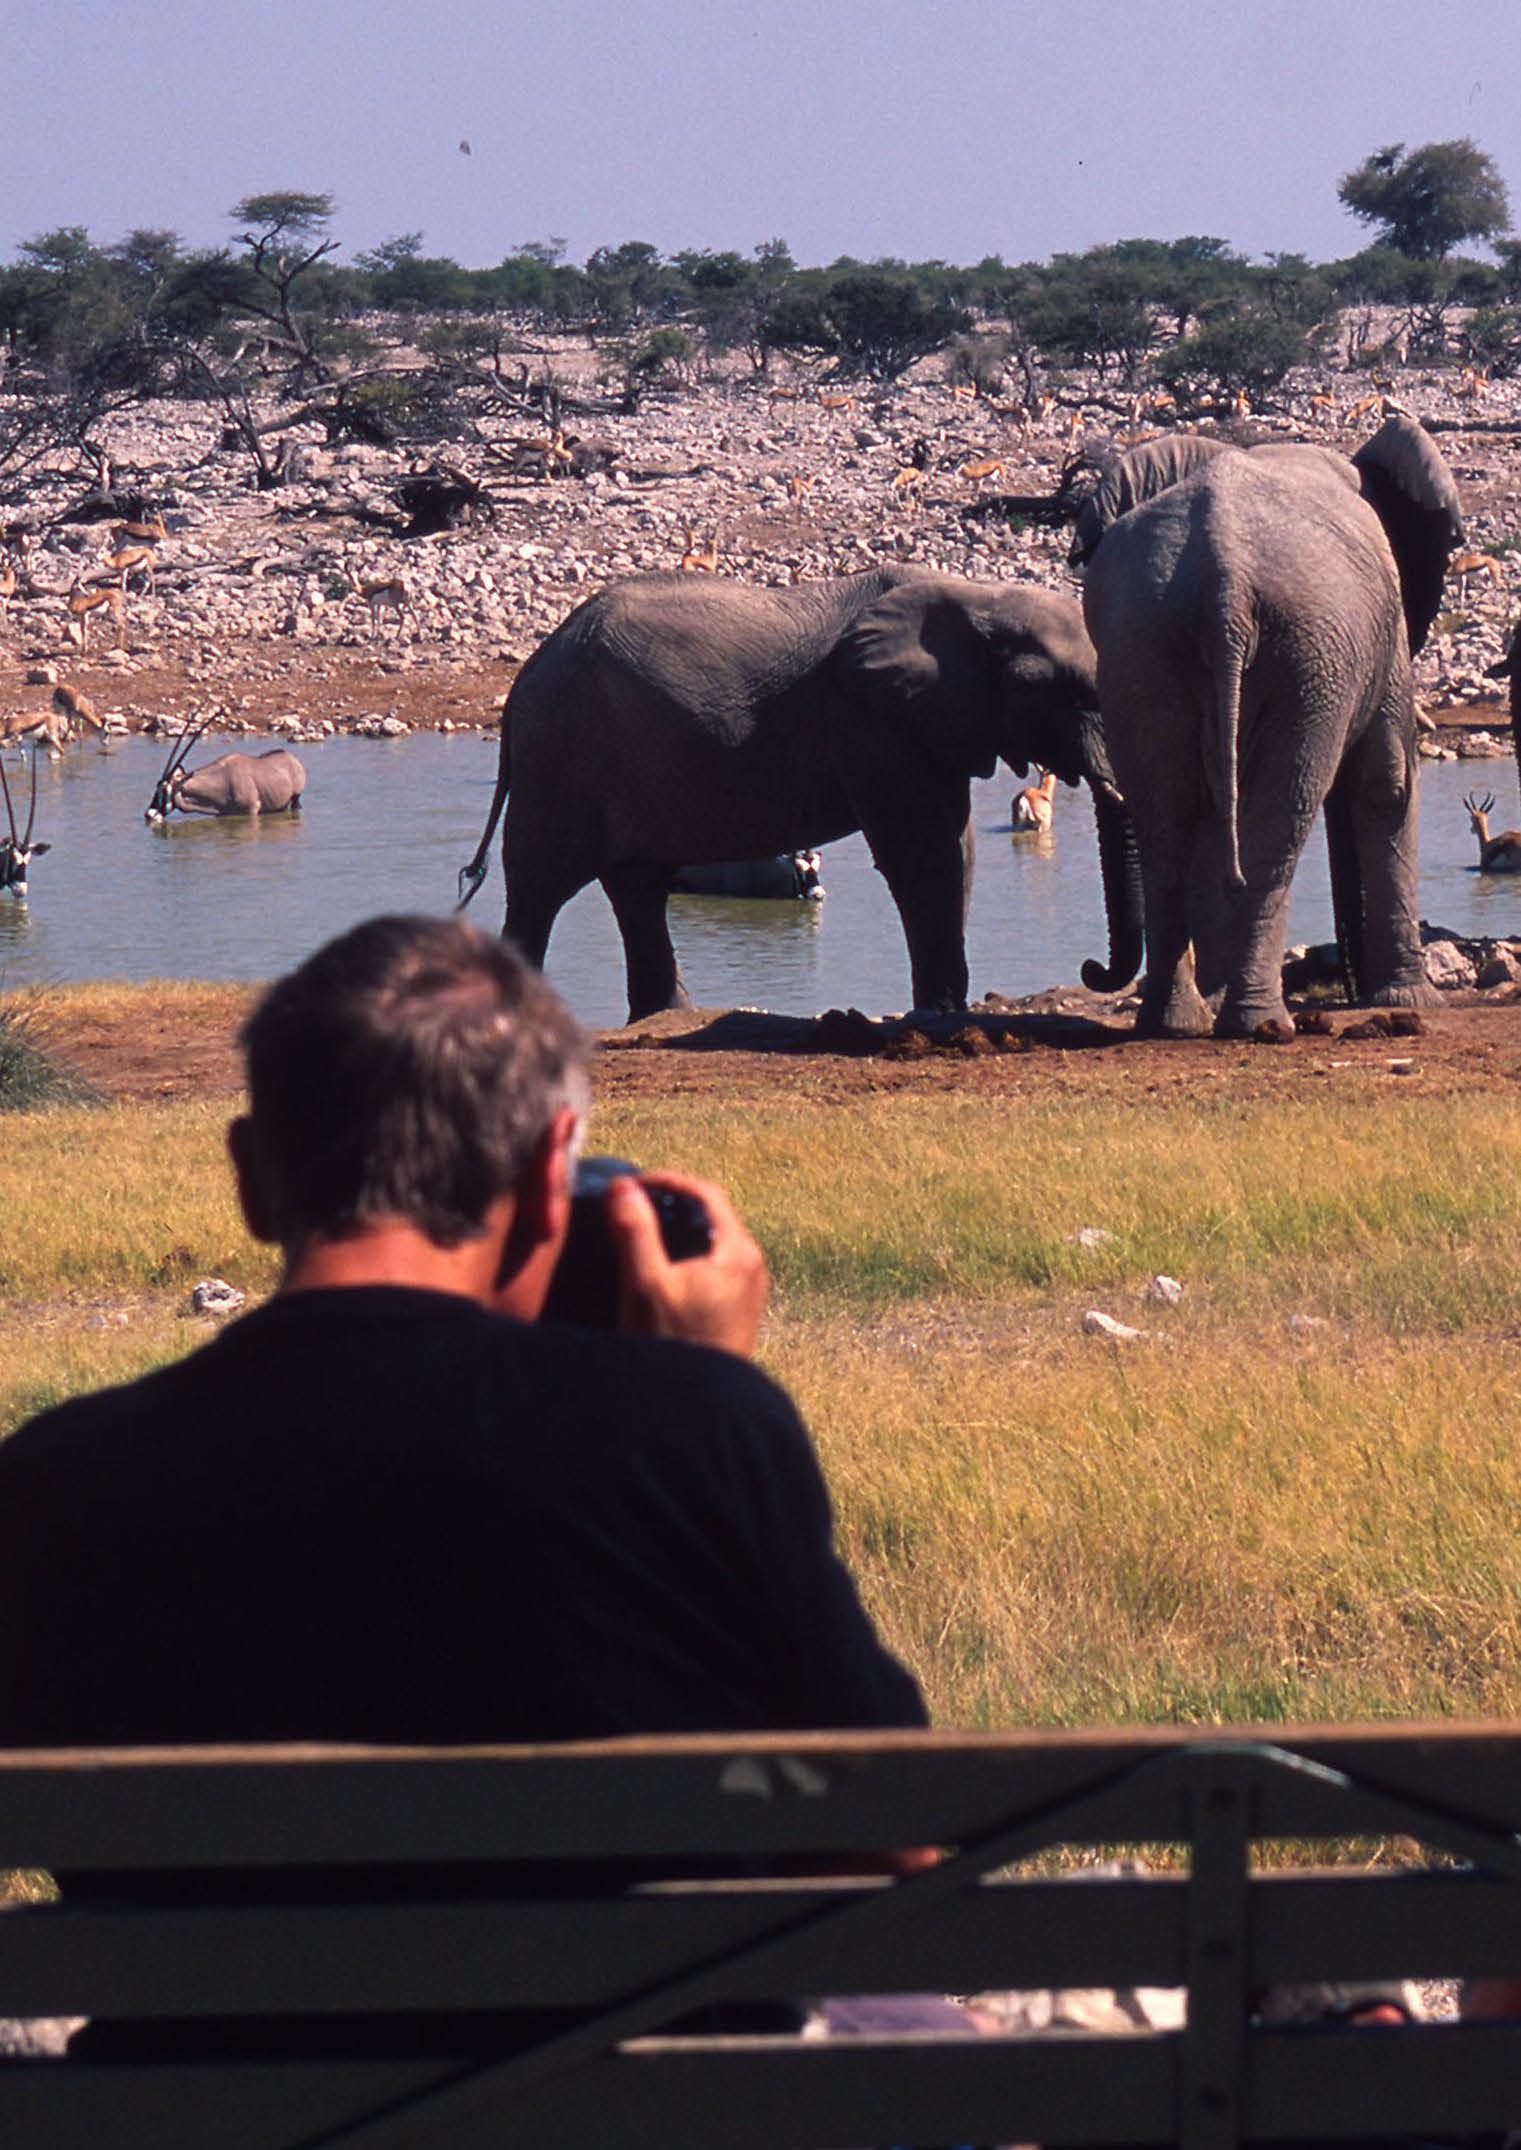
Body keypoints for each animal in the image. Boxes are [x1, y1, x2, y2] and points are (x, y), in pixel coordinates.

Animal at [456, 571, 1144, 1023]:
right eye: (1063, 692)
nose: (1090, 968)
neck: (980, 598)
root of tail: (521, 683)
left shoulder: (927, 722)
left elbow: (956, 846)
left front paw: (944, 1012)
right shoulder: (870, 721)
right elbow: (924, 851)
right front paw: (942, 1016)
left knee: (637, 887)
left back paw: (667, 1017)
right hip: (562, 752)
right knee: (541, 887)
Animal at [1084, 414, 1462, 1036]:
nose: (1349, 988)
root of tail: (1225, 582)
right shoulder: (1389, 633)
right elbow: (1386, 785)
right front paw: (1413, 1001)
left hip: (1145, 643)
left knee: (1169, 821)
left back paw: (1176, 1023)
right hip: (1304, 653)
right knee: (1277, 823)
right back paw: (1260, 1024)